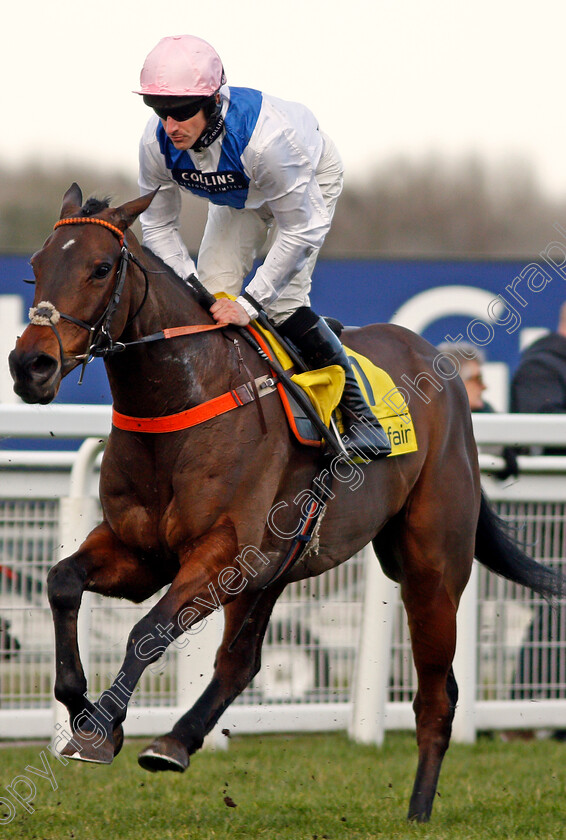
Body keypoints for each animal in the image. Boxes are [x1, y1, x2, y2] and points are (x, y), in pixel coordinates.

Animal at [8, 184, 564, 820]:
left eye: (100, 268)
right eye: (36, 266)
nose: (30, 365)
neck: (182, 402)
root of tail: (440, 367)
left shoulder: (221, 552)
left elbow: (147, 630)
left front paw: (102, 727)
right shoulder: (141, 551)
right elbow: (62, 582)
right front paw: (82, 711)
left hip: (431, 566)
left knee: (436, 695)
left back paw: (420, 812)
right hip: (277, 564)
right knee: (241, 662)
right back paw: (176, 742)